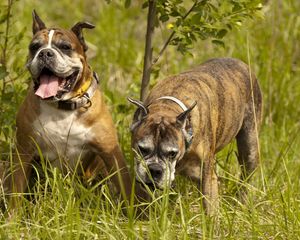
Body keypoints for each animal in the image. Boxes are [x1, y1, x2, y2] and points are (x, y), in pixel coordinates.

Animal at [2, 10, 131, 207]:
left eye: (65, 47)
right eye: (34, 47)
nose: (45, 53)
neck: (62, 107)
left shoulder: (111, 154)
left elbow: (128, 189)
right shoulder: (24, 152)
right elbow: (16, 191)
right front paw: (13, 215)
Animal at [129, 57, 262, 214]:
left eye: (172, 153)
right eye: (142, 149)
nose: (155, 169)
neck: (167, 108)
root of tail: (241, 63)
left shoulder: (208, 177)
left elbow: (210, 208)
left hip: (250, 147)